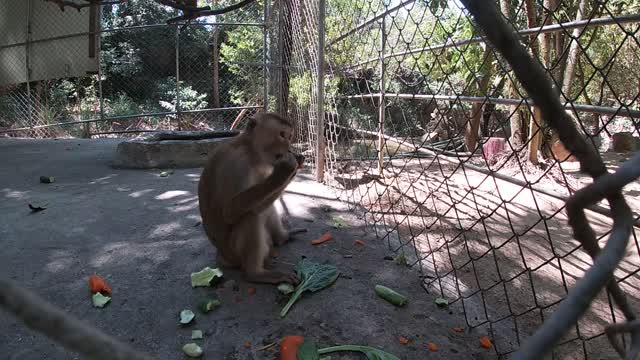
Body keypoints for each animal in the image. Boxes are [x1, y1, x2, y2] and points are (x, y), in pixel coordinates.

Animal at [196, 112, 304, 284]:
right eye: (282, 135)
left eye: (289, 136)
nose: (288, 147)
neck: (252, 151)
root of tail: (222, 256)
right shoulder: (236, 164)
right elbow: (230, 212)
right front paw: (285, 170)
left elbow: (262, 203)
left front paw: (295, 164)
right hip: (234, 252)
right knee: (250, 217)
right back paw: (256, 273)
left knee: (261, 209)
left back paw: (282, 238)